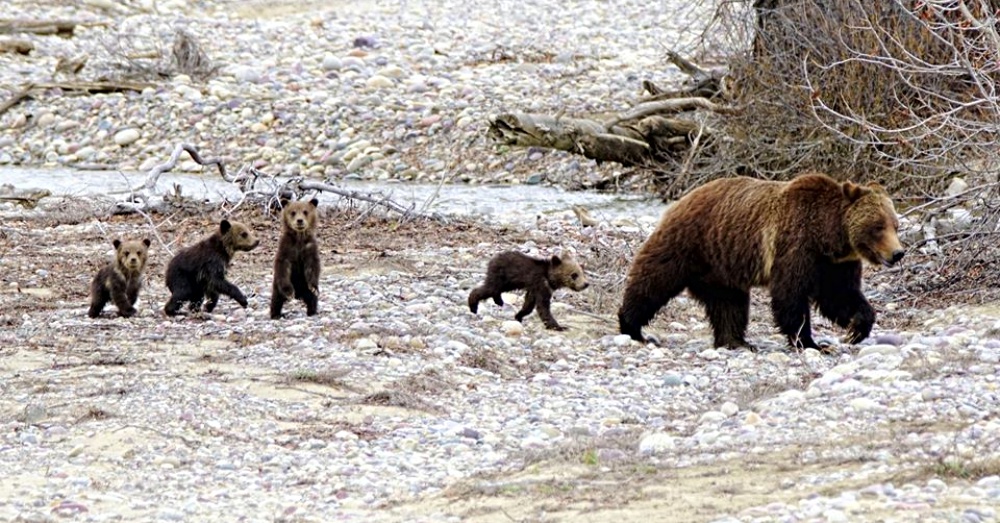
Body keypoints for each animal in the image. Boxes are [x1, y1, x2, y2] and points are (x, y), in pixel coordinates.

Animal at [616, 174, 908, 350]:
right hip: (689, 243)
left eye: (895, 225)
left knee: (729, 303)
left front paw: (857, 329)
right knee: (654, 279)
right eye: (878, 226)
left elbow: (840, 296)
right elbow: (791, 295)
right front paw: (809, 342)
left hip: (721, 267)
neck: (829, 237)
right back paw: (632, 326)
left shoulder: (835, 264)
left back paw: (736, 341)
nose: (897, 253)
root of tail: (682, 198)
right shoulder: (797, 246)